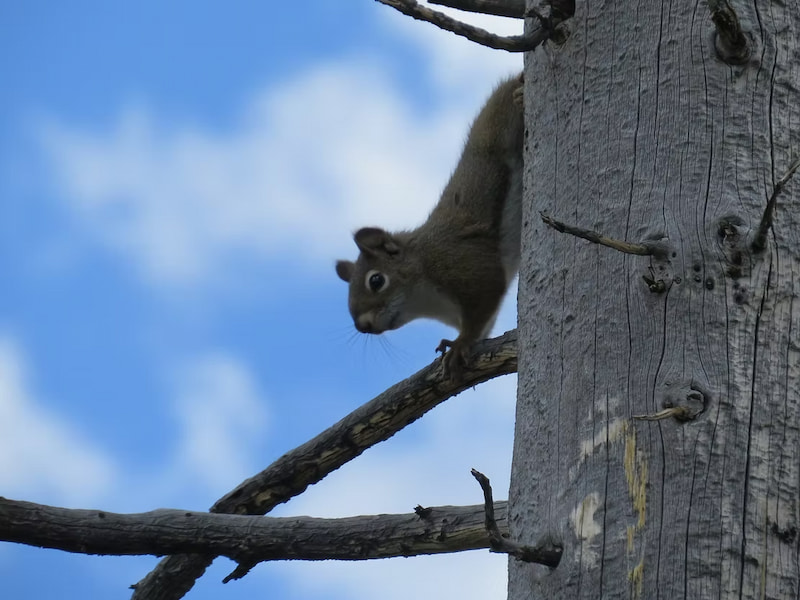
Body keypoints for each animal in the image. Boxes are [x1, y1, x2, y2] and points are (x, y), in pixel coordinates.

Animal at [335, 73, 524, 379]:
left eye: (376, 280)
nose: (362, 326)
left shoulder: (468, 268)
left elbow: (484, 304)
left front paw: (460, 344)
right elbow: (484, 326)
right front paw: (453, 342)